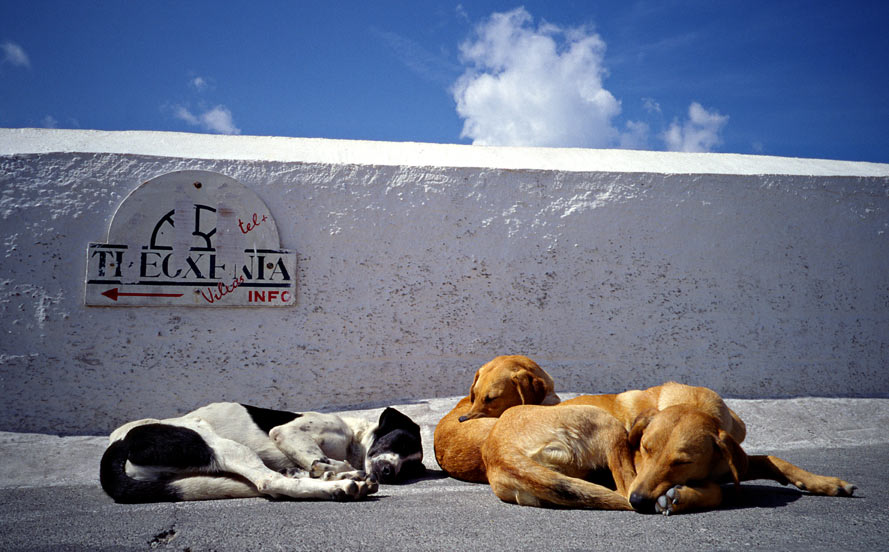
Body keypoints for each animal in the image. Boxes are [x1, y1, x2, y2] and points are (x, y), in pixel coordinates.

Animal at [99, 402, 424, 504]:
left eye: (409, 467)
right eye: (400, 444)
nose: (389, 472)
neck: (353, 441)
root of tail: (117, 444)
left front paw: (328, 471)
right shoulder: (286, 432)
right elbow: (325, 459)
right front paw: (333, 470)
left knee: (274, 484)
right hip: (215, 441)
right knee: (269, 481)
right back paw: (342, 485)